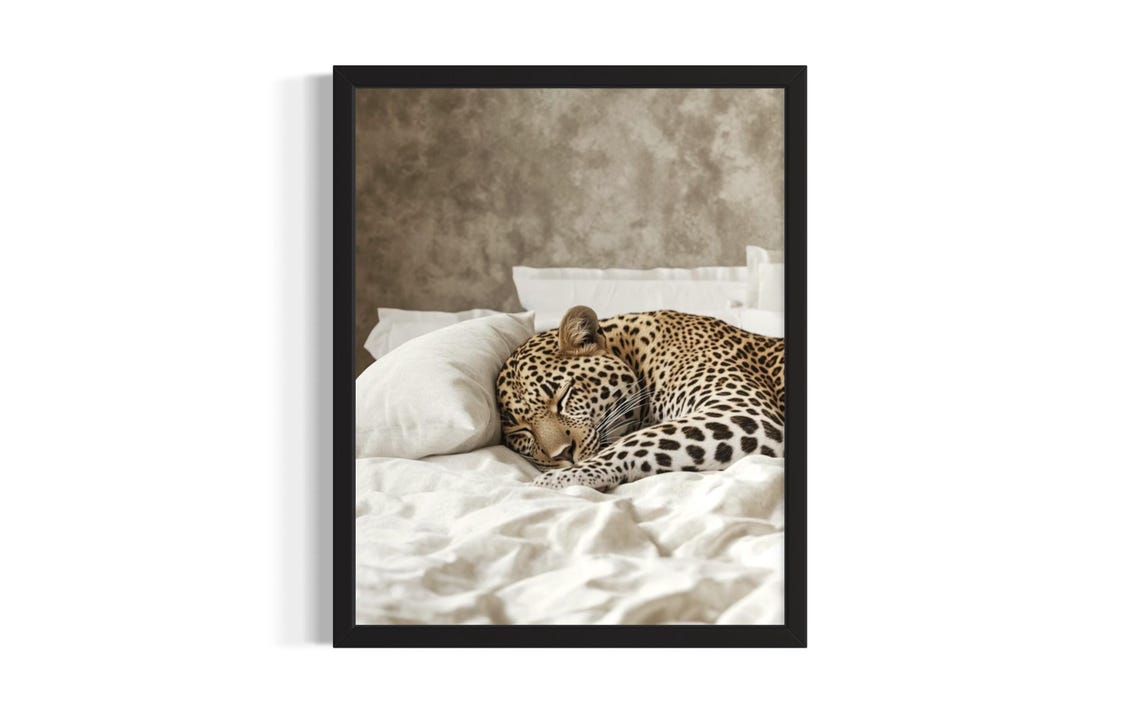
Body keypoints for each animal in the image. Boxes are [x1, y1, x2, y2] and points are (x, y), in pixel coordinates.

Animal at [495, 305, 784, 490]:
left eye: (563, 397)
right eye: (521, 431)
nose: (563, 454)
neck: (634, 352)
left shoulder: (742, 411)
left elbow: (635, 443)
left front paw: (554, 480)